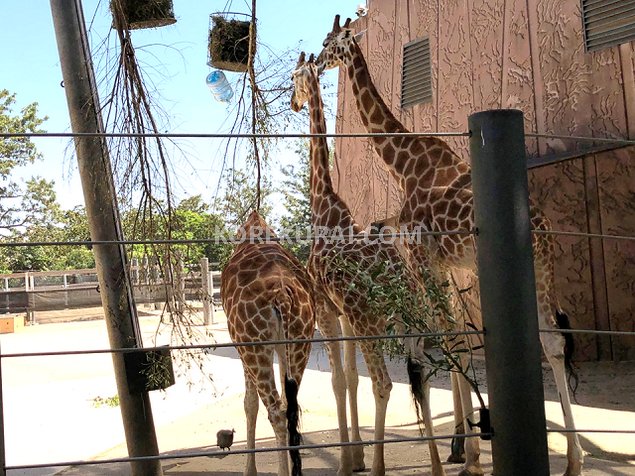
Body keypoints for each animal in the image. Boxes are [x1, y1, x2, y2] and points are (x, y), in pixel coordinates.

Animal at [221, 211, 316, 476]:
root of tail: (281, 295)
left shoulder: (240, 348)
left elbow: (249, 404)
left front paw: (249, 470)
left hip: (254, 346)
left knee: (275, 410)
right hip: (301, 340)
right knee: (288, 406)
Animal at [290, 52, 450, 476]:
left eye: (294, 78)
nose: (292, 103)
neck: (324, 206)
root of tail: (401, 289)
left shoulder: (327, 310)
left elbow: (337, 381)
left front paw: (349, 462)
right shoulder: (343, 315)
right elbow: (349, 379)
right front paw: (354, 455)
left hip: (371, 323)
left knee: (385, 383)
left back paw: (380, 465)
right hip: (408, 324)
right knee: (421, 380)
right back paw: (437, 464)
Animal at [314, 14, 588, 476]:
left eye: (330, 43)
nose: (316, 63)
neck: (404, 164)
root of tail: (541, 228)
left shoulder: (426, 260)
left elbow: (451, 341)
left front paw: (470, 454)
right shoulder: (451, 265)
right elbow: (458, 338)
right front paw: (464, 445)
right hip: (542, 270)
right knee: (552, 340)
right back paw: (572, 460)